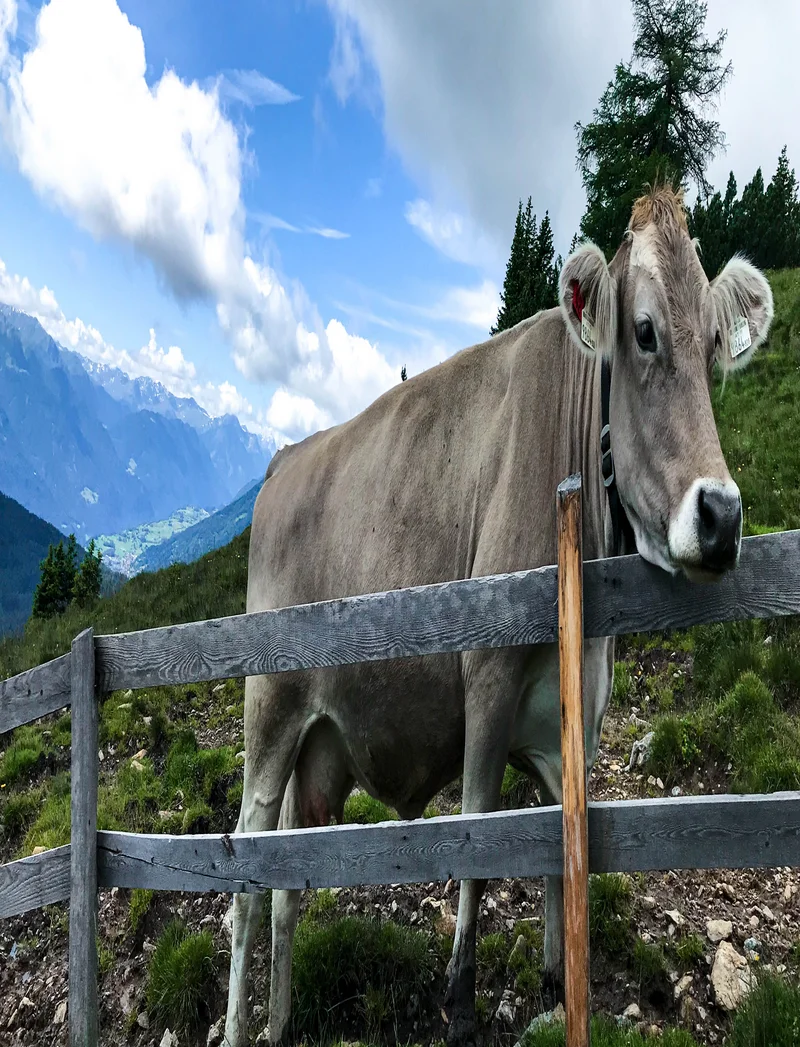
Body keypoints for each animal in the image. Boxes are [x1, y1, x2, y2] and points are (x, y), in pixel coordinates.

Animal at [220, 186, 773, 1047]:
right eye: (645, 331)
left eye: (716, 345)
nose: (720, 517)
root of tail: (285, 462)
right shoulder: (486, 678)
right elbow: (479, 838)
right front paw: (459, 999)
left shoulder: (568, 717)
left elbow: (553, 852)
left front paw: (554, 979)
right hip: (268, 708)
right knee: (246, 881)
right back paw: (242, 1026)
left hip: (320, 746)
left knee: (287, 879)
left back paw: (279, 1023)